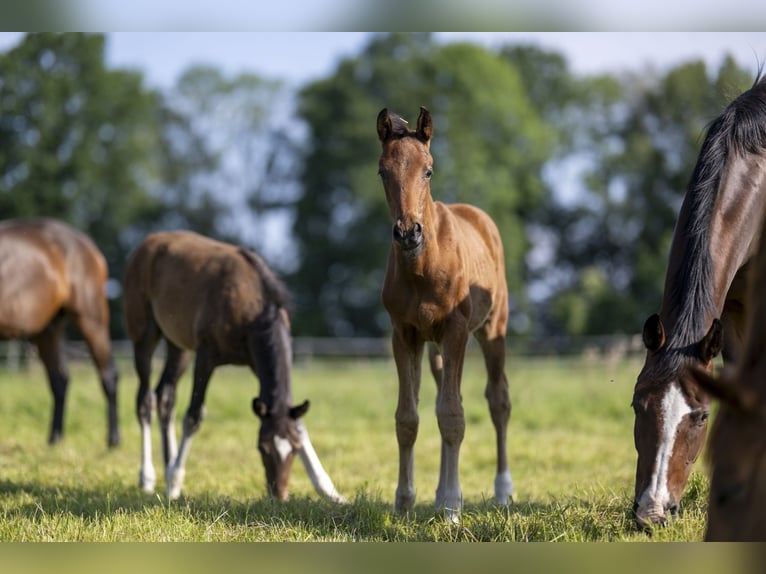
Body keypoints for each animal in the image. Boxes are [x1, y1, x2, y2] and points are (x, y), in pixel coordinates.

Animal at [0, 218, 120, 448]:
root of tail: (86, 243)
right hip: (49, 330)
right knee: (59, 381)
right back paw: (55, 439)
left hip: (91, 317)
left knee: (108, 375)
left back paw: (113, 440)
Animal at [124, 231, 346, 504]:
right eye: (262, 447)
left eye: (294, 449)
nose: (279, 496)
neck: (253, 305)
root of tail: (148, 243)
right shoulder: (206, 356)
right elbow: (193, 417)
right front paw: (175, 481)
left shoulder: (255, 364)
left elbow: (300, 425)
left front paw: (330, 491)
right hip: (144, 335)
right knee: (145, 400)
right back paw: (149, 477)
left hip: (178, 346)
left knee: (166, 396)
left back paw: (168, 466)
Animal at [378, 106, 516, 524]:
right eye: (382, 171)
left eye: (428, 170)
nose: (408, 233)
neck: (423, 266)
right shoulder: (404, 334)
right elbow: (409, 418)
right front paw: (405, 502)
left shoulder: (456, 331)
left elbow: (453, 416)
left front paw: (454, 508)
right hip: (435, 348)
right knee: (443, 396)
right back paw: (439, 494)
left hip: (491, 331)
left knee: (498, 401)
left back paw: (502, 491)